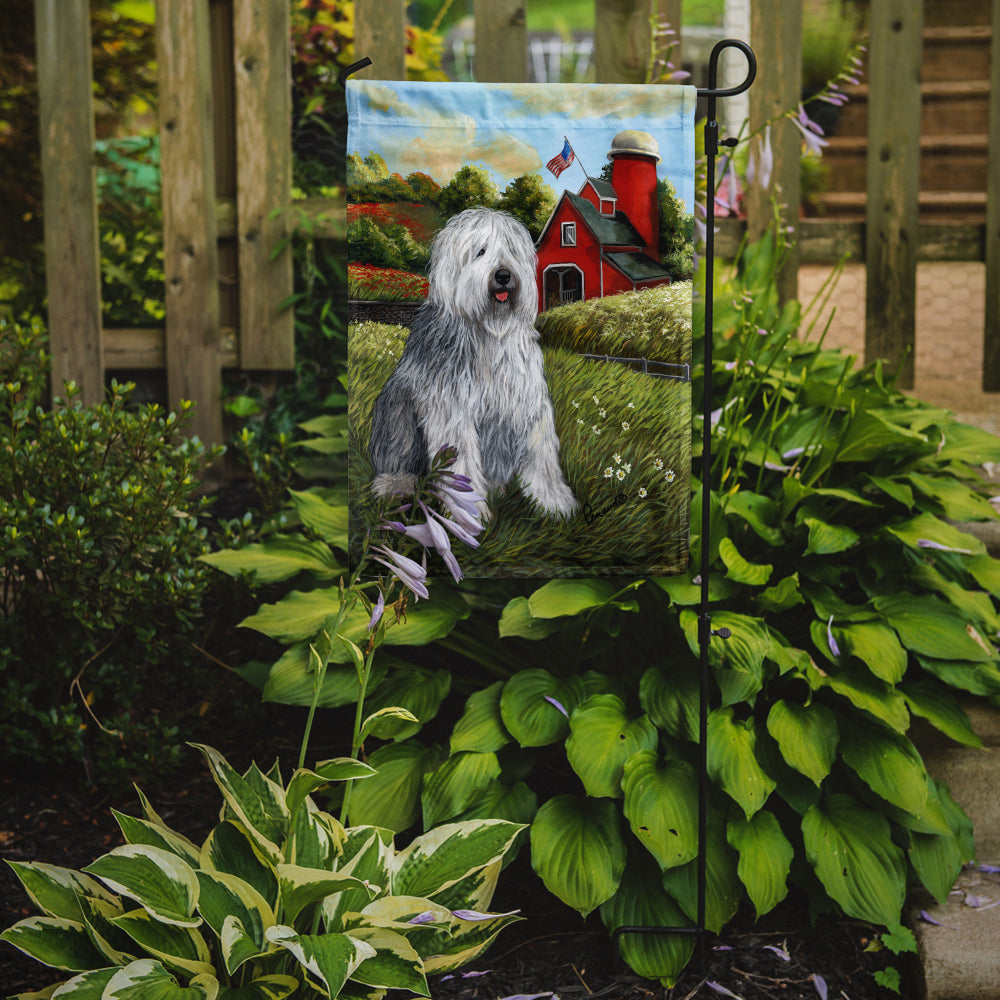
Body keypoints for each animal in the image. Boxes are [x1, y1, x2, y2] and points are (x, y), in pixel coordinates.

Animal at [368, 207, 576, 520]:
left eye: (511, 250)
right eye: (480, 251)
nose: (503, 274)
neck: (489, 330)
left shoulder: (526, 399)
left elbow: (541, 452)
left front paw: (554, 503)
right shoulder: (451, 409)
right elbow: (461, 460)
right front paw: (470, 515)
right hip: (396, 408)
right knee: (397, 457)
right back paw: (396, 485)